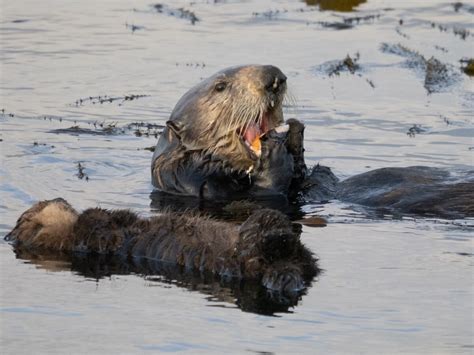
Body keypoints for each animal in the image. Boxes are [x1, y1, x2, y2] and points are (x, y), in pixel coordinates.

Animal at [4, 200, 318, 294]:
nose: (60, 200)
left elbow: (121, 219)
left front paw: (111, 212)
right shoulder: (91, 244)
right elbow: (97, 227)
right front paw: (91, 213)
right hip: (250, 258)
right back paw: (274, 233)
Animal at [152, 65, 474, 218]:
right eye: (220, 87)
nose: (274, 77)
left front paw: (295, 135)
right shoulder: (205, 187)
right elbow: (268, 194)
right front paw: (275, 153)